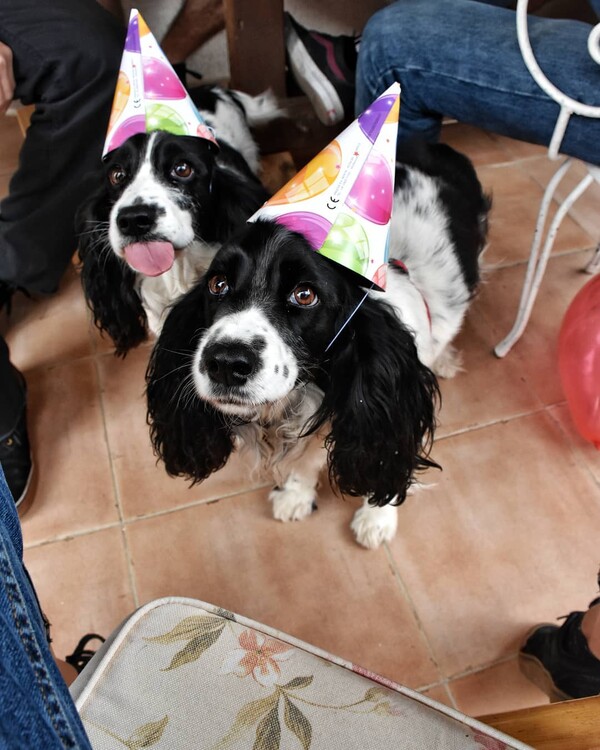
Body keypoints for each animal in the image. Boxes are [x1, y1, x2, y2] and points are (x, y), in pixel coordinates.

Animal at [146, 141, 492, 548]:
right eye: (218, 284)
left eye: (305, 294)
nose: (226, 363)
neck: (310, 391)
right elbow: (301, 464)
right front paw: (295, 495)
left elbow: (388, 460)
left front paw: (376, 519)